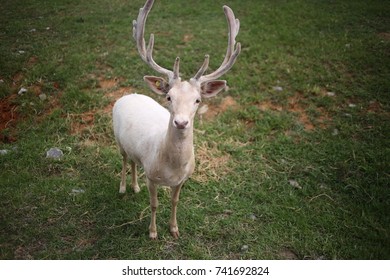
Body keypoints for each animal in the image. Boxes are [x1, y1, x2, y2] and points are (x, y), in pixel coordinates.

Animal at [112, 0, 239, 240]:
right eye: (169, 97)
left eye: (198, 100)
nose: (181, 122)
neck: (172, 168)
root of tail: (128, 95)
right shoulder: (151, 176)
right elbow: (154, 204)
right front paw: (152, 232)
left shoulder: (182, 180)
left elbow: (175, 201)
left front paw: (174, 229)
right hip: (117, 138)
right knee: (124, 159)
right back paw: (123, 188)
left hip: (134, 149)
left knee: (133, 160)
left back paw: (135, 187)